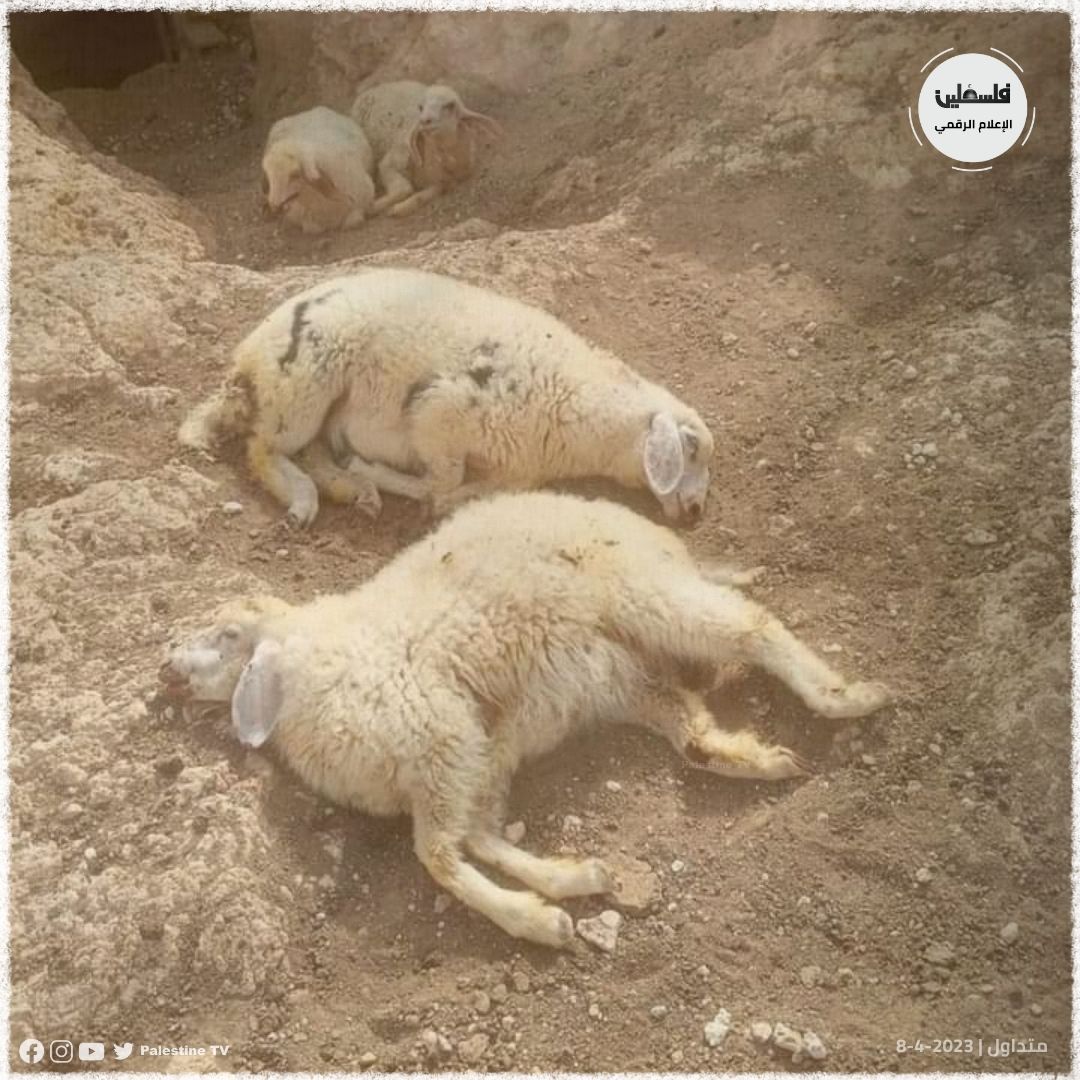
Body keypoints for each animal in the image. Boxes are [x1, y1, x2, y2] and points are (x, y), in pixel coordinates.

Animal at [158, 491, 891, 948]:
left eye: (228, 634)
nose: (167, 669)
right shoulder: (474, 754)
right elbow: (478, 838)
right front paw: (571, 882)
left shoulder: (444, 741)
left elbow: (441, 858)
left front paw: (534, 921)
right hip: (615, 674)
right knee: (691, 729)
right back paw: (752, 757)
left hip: (642, 594)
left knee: (752, 627)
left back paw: (848, 696)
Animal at [177, 267, 714, 528]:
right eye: (689, 448)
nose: (695, 512)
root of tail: (246, 359)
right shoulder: (439, 414)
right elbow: (443, 483)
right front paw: (394, 481)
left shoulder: (511, 469)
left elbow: (467, 492)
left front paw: (378, 479)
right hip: (304, 384)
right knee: (263, 449)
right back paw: (306, 501)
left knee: (308, 452)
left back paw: (352, 491)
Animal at [261, 106, 376, 235]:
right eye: (268, 175)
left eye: (295, 174)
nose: (274, 205)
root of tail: (314, 110)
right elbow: (311, 228)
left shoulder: (362, 201)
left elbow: (353, 222)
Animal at [350, 80, 501, 217]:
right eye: (421, 107)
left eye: (450, 106)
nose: (424, 121)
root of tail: (379, 86)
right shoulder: (390, 162)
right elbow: (405, 188)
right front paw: (377, 206)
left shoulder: (441, 182)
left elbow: (425, 194)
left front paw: (399, 208)